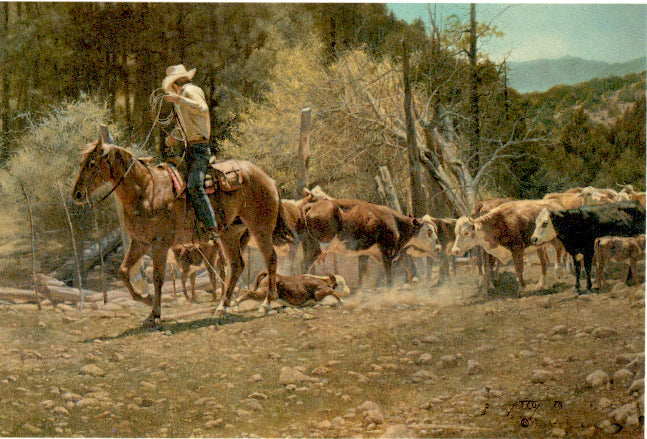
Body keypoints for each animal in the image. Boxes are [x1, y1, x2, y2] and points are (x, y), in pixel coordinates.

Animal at [71, 137, 293, 326]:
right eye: (81, 162)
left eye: (92, 163)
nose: (77, 194)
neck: (147, 191)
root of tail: (268, 179)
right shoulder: (140, 242)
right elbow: (123, 271)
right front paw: (145, 299)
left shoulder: (160, 244)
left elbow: (157, 277)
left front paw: (154, 314)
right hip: (230, 234)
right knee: (237, 265)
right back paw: (223, 306)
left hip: (260, 229)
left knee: (270, 259)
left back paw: (266, 303)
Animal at [302, 197, 430, 286]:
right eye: (429, 230)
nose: (435, 245)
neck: (394, 221)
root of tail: (312, 207)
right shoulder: (386, 252)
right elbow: (389, 274)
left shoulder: (365, 252)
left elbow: (361, 271)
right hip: (321, 246)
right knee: (306, 263)